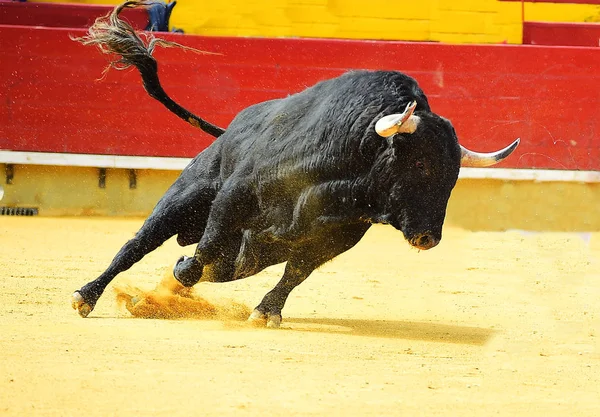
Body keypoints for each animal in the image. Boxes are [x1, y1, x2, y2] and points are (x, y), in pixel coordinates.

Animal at [71, 0, 520, 324]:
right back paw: (87, 296)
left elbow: (295, 272)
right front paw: (182, 272)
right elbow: (208, 248)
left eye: (453, 177)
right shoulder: (236, 196)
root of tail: (229, 130)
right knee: (138, 244)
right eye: (423, 166)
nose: (429, 238)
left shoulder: (335, 237)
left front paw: (265, 312)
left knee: (226, 264)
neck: (352, 165)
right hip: (186, 196)